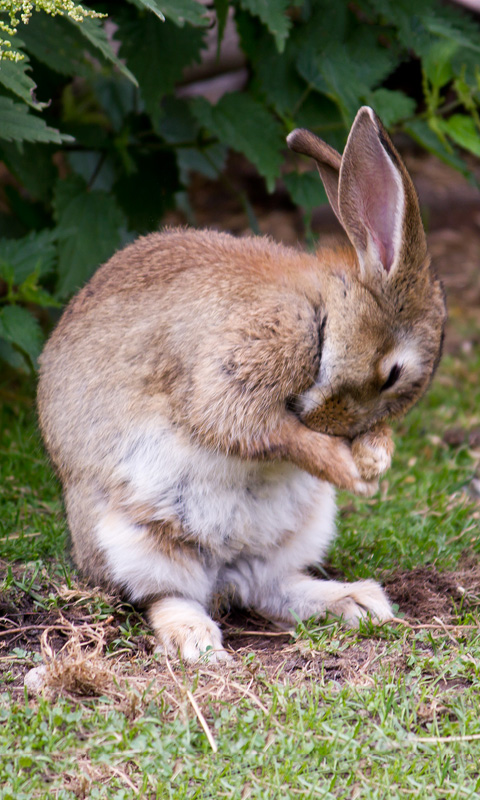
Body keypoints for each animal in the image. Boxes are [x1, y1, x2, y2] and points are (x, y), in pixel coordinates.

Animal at [37, 106, 446, 664]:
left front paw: (375, 458)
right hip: (132, 539)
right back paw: (196, 640)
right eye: (392, 375)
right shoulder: (242, 365)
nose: (331, 425)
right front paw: (350, 471)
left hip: (298, 532)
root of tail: (221, 574)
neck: (321, 315)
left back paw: (357, 602)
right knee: (165, 594)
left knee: (268, 587)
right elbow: (259, 429)